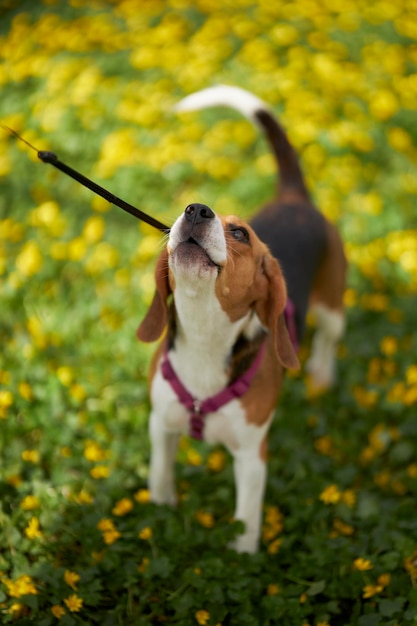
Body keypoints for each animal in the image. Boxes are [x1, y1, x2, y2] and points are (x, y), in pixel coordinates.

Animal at [136, 84, 344, 552]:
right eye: (185, 210)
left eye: (240, 234)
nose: (196, 209)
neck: (204, 336)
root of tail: (294, 198)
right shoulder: (161, 425)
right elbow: (159, 477)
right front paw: (159, 512)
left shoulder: (252, 456)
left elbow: (247, 520)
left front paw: (244, 557)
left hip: (333, 305)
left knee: (328, 337)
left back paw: (322, 375)